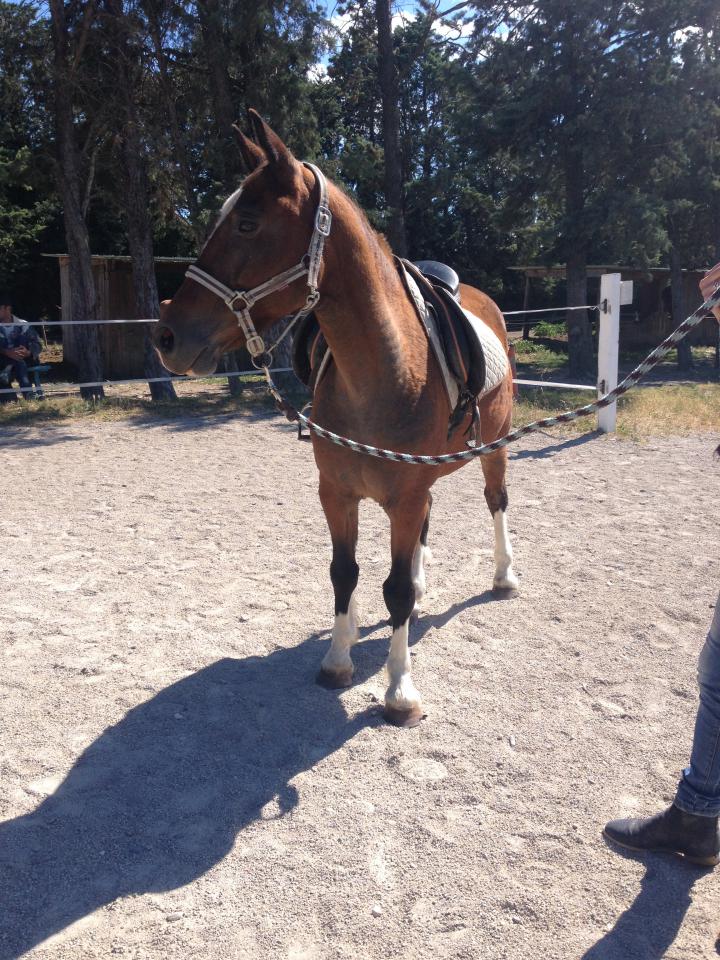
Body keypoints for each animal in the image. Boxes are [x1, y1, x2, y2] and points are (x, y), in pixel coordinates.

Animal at [153, 110, 518, 727]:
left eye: (247, 223)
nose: (167, 336)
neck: (386, 373)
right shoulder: (337, 493)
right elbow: (344, 573)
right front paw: (337, 661)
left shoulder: (404, 496)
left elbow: (393, 592)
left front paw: (400, 691)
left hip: (496, 448)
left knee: (496, 503)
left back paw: (503, 577)